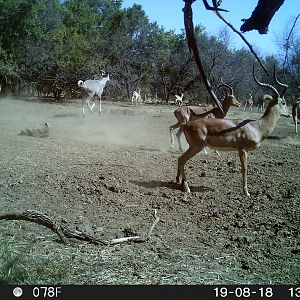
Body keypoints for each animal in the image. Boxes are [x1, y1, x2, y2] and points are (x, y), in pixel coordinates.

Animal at [176, 65, 290, 197]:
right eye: (284, 102)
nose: (289, 114)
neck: (257, 126)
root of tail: (187, 125)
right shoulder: (243, 149)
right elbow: (244, 168)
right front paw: (246, 192)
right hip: (196, 147)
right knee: (181, 159)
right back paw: (186, 187)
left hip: (194, 146)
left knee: (180, 159)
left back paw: (178, 181)